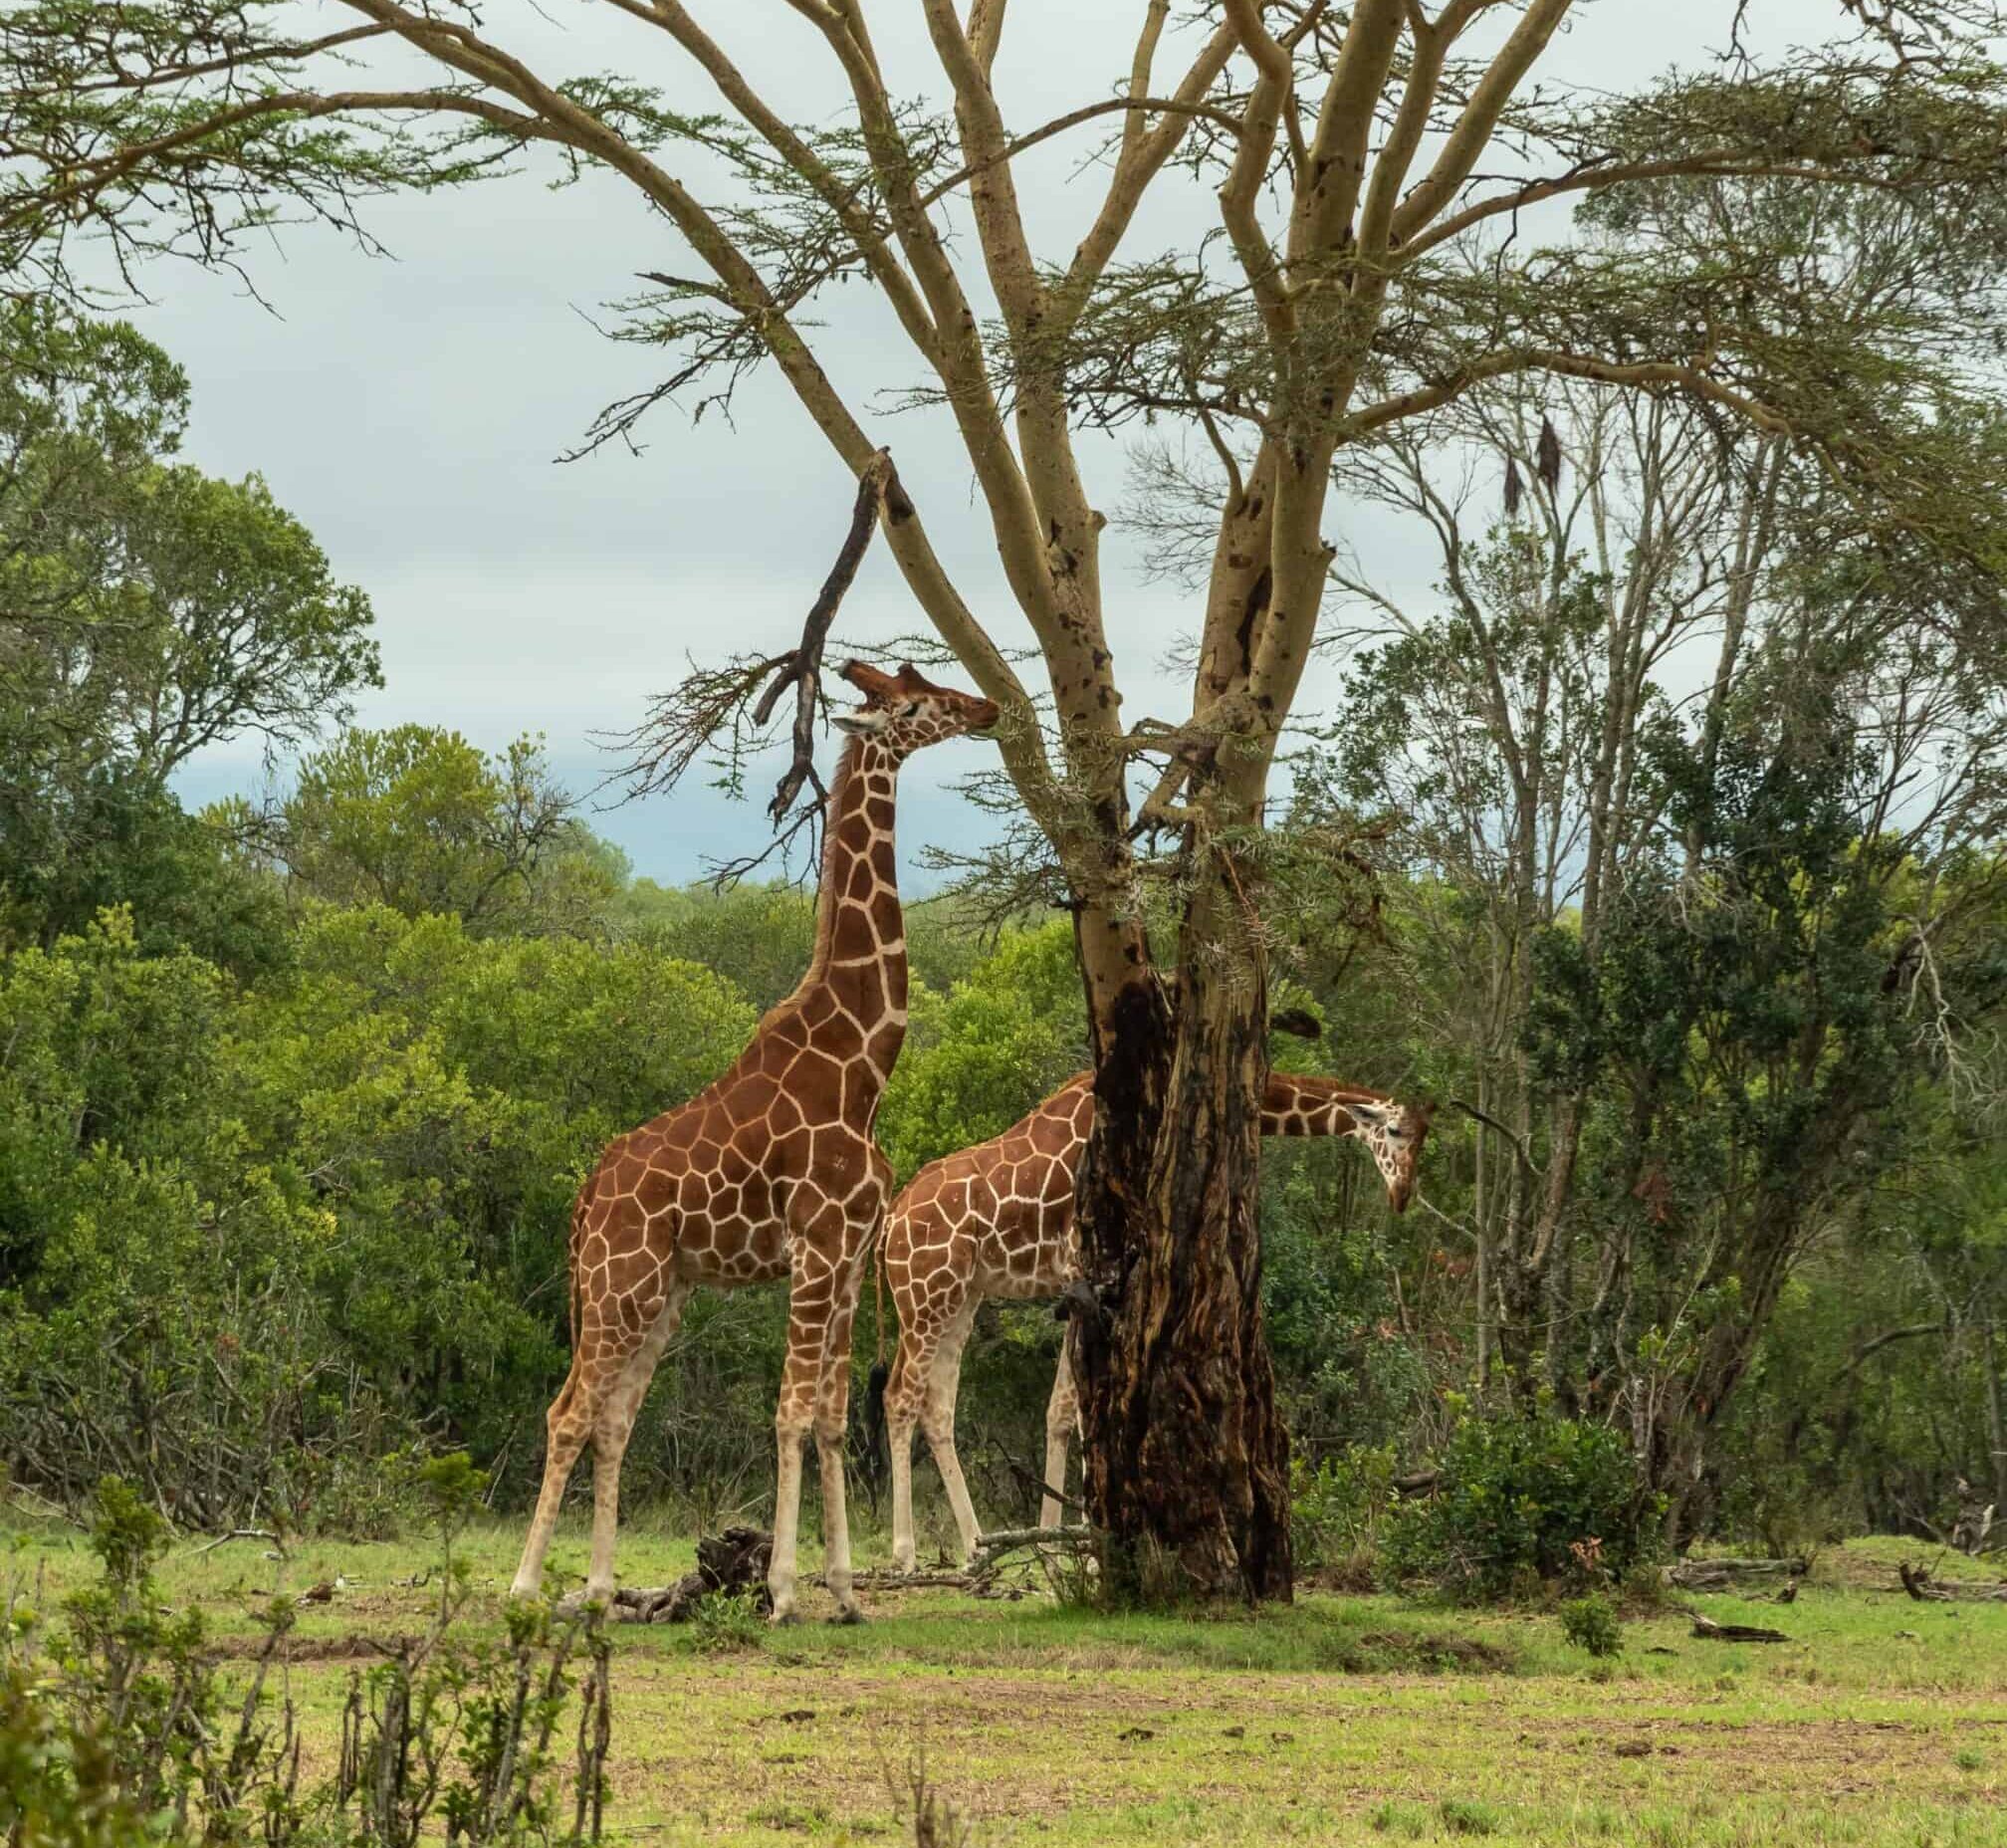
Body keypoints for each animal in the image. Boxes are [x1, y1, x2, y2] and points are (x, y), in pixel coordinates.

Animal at [509, 659, 997, 1620]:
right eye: (918, 701)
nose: (988, 707)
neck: (862, 1065)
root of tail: (583, 1202)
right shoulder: (815, 1249)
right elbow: (790, 1410)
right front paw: (780, 1589)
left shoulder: (848, 1256)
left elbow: (833, 1415)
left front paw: (844, 1591)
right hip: (619, 1285)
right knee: (568, 1411)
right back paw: (524, 1585)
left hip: (663, 1292)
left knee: (613, 1417)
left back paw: (600, 1587)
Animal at [881, 1071, 1431, 1571]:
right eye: (1395, 1132)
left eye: (1426, 1138)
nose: (1402, 1194)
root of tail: (890, 1221)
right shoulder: (1085, 1266)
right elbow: (1082, 1404)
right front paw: (1091, 1546)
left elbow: (1065, 1407)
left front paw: (1059, 1544)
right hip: (925, 1291)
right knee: (900, 1397)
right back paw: (905, 1554)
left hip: (963, 1295)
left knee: (938, 1408)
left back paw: (976, 1546)